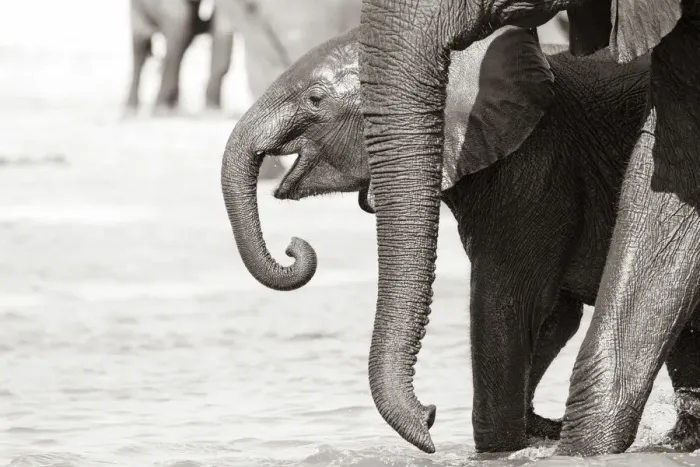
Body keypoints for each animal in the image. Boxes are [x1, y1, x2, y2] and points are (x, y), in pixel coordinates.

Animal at [218, 26, 673, 448]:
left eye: (315, 99)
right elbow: (555, 314)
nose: (430, 413)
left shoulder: (535, 169)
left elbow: (507, 303)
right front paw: (537, 429)